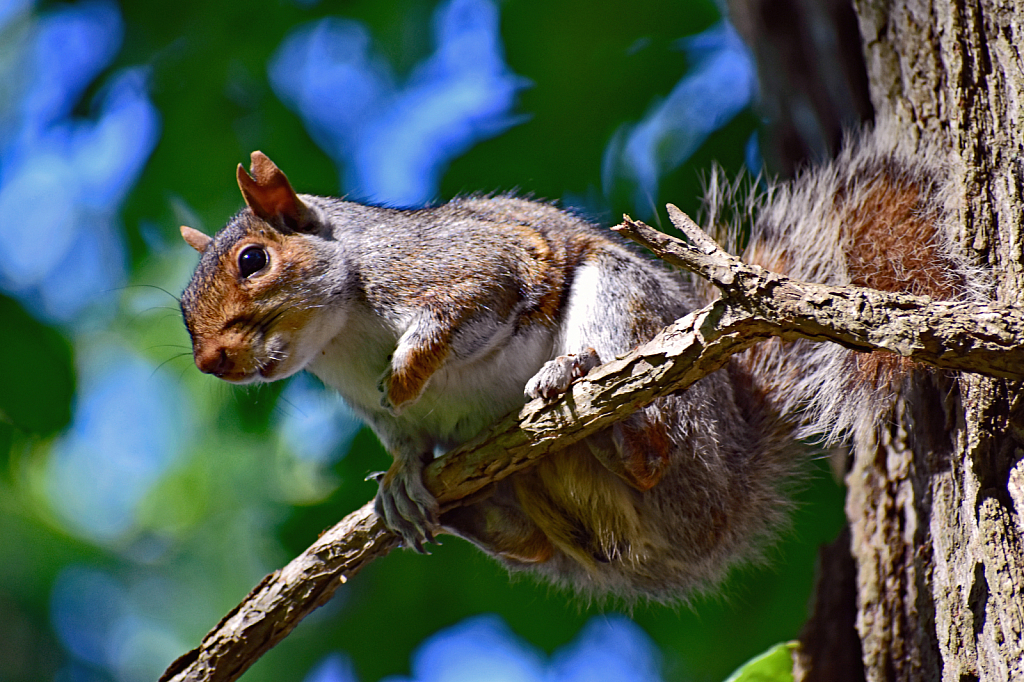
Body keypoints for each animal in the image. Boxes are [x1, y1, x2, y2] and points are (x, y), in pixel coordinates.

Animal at [178, 119, 983, 598]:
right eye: (183, 310)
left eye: (253, 260)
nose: (212, 362)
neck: (339, 336)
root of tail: (728, 498)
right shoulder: (373, 412)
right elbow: (407, 439)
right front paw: (404, 476)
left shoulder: (468, 267)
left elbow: (463, 310)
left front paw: (409, 370)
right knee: (533, 547)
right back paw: (463, 510)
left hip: (628, 318)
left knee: (656, 450)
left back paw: (602, 408)